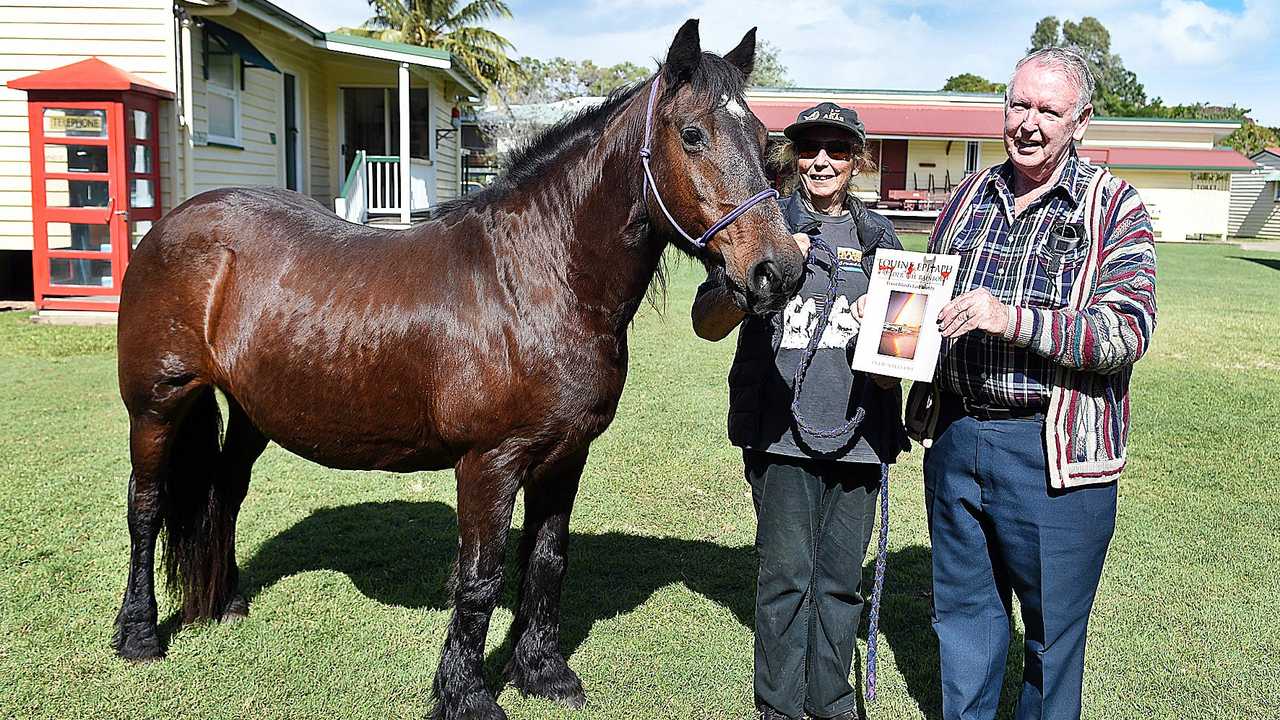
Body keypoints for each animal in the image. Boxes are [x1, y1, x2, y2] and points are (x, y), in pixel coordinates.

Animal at [115, 16, 803, 717]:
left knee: (225, 490)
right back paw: (139, 634)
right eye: (692, 134)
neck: (536, 279)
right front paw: (467, 694)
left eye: (764, 139)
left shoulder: (565, 456)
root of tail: (176, 222)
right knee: (146, 505)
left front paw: (543, 672)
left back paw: (226, 603)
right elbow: (479, 579)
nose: (779, 270)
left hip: (252, 410)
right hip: (158, 404)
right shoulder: (488, 464)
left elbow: (546, 561)